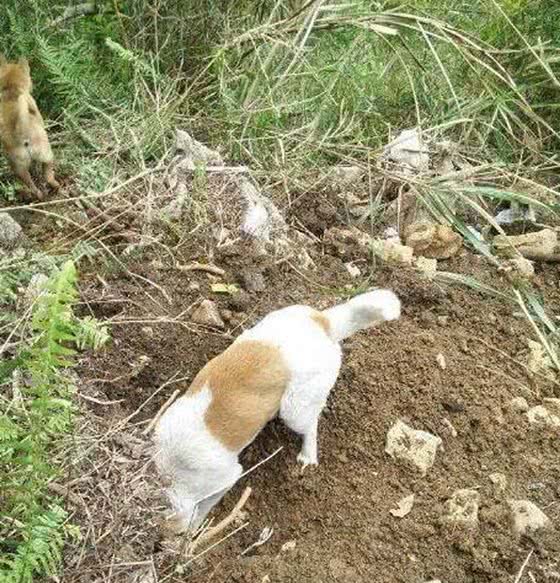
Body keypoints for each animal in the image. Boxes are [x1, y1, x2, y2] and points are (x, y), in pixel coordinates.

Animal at [0, 55, 60, 201]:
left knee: (33, 183)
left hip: (21, 166)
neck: (11, 90)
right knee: (47, 175)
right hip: (44, 155)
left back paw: (40, 194)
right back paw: (53, 187)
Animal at [154, 290, 398, 532]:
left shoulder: (226, 478)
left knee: (311, 425)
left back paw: (308, 455)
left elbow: (203, 507)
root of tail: (323, 322)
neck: (171, 468)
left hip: (295, 411)